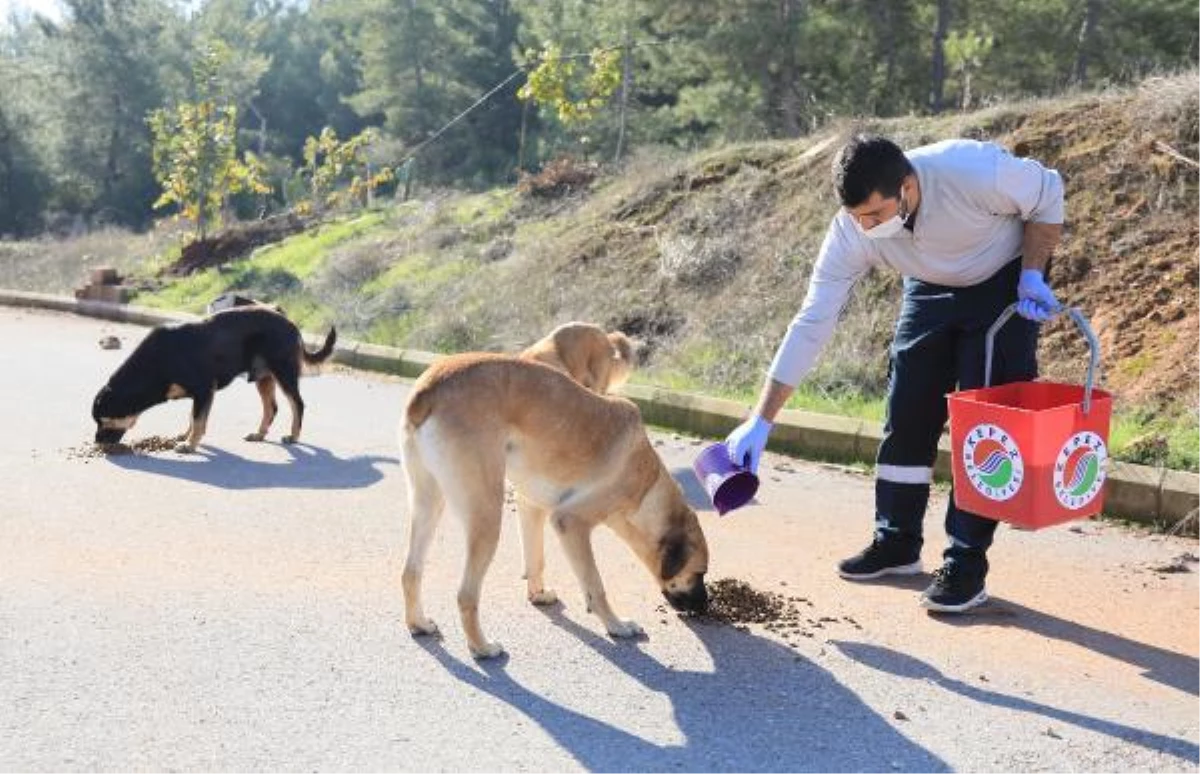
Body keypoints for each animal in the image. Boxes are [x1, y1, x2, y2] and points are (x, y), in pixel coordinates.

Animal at [91, 306, 338, 453]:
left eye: (104, 420)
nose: (97, 442)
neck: (159, 361)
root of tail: (292, 325)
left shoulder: (203, 390)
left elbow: (198, 420)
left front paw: (189, 445)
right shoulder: (198, 395)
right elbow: (193, 418)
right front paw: (186, 437)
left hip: (284, 372)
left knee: (297, 404)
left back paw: (293, 436)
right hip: (264, 377)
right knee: (272, 407)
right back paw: (259, 434)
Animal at [398, 352, 705, 652]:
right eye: (699, 573)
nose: (705, 606)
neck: (648, 486)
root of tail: (429, 389)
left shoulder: (530, 506)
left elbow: (536, 560)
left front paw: (538, 594)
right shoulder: (571, 523)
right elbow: (595, 585)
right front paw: (616, 626)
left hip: (428, 505)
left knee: (411, 572)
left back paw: (419, 623)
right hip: (486, 518)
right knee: (466, 595)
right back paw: (482, 648)